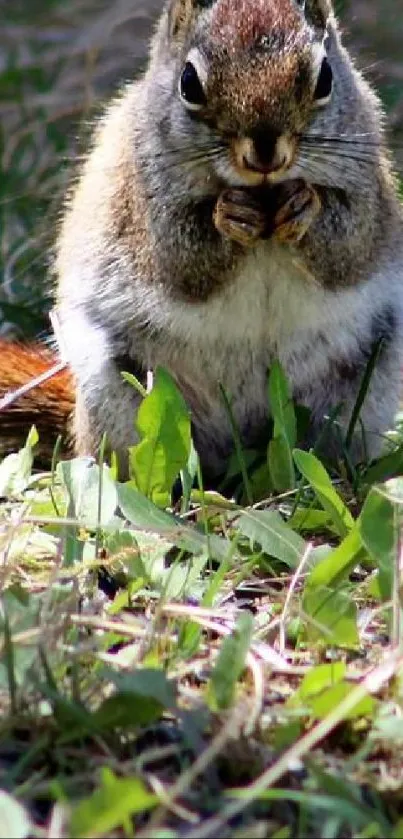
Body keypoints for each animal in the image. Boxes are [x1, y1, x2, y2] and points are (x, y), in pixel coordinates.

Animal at [0, 0, 403, 486]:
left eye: (324, 77)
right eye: (189, 83)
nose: (264, 152)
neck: (263, 195)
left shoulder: (367, 187)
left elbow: (348, 248)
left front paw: (305, 207)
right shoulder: (142, 208)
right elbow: (182, 263)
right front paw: (228, 216)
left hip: (366, 380)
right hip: (117, 390)